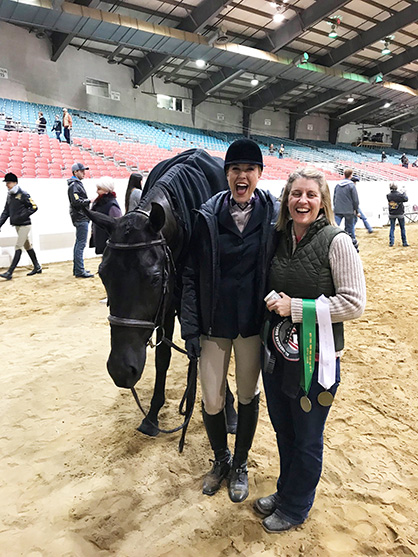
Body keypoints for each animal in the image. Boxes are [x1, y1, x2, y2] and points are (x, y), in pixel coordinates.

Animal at [86, 148, 237, 438]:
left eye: (155, 278)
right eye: (102, 274)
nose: (121, 370)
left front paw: (230, 410)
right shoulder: (165, 307)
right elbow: (162, 358)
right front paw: (153, 414)